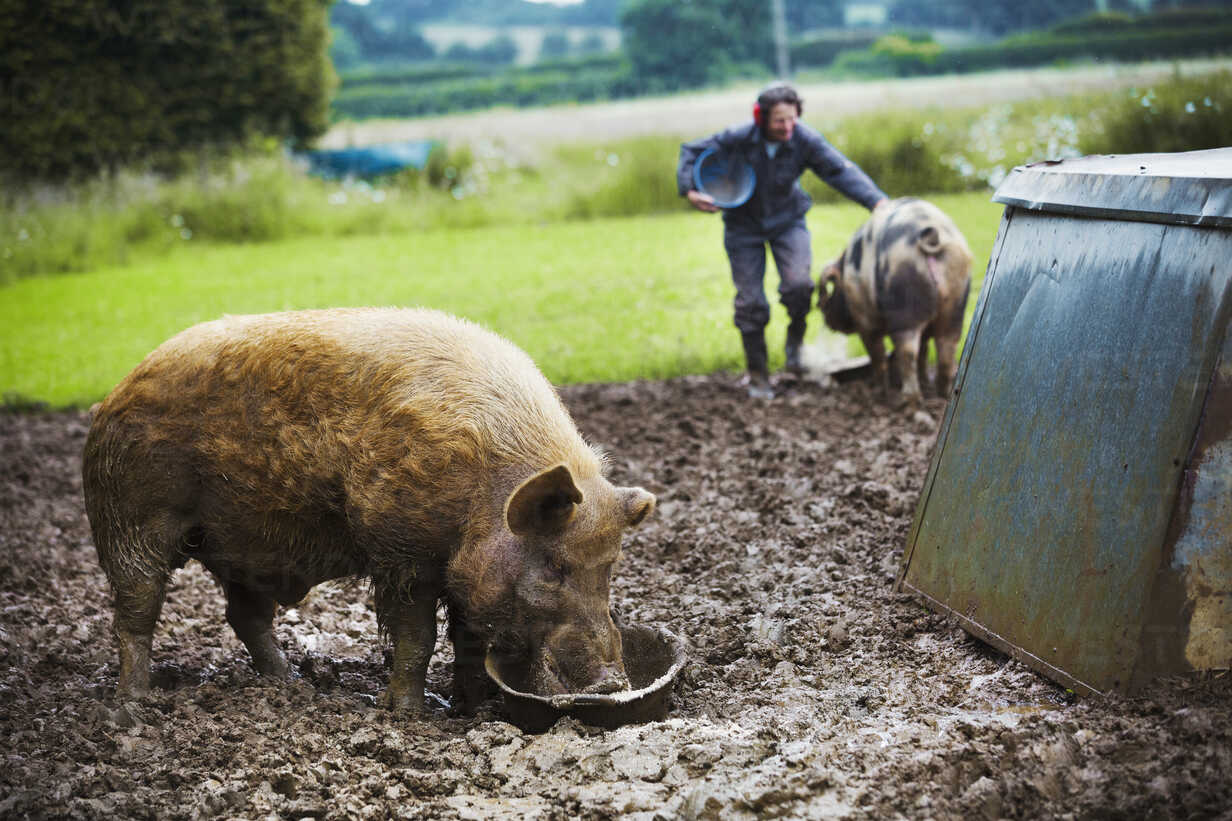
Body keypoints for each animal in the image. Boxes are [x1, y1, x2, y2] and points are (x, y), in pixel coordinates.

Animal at [82, 307, 655, 714]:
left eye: (610, 568)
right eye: (554, 567)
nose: (613, 683)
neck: (482, 493)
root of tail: (112, 395)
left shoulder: (461, 576)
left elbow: (469, 639)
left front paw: (473, 708)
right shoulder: (401, 551)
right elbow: (417, 636)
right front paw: (407, 715)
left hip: (242, 547)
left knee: (244, 616)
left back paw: (290, 686)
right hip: (129, 517)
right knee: (135, 614)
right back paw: (132, 707)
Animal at [818, 197, 973, 407]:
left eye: (831, 291)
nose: (825, 318)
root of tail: (932, 237)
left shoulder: (865, 320)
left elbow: (877, 354)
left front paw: (878, 392)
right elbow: (924, 351)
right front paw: (925, 380)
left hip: (906, 306)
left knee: (907, 352)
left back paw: (909, 400)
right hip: (955, 304)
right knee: (946, 348)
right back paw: (941, 395)